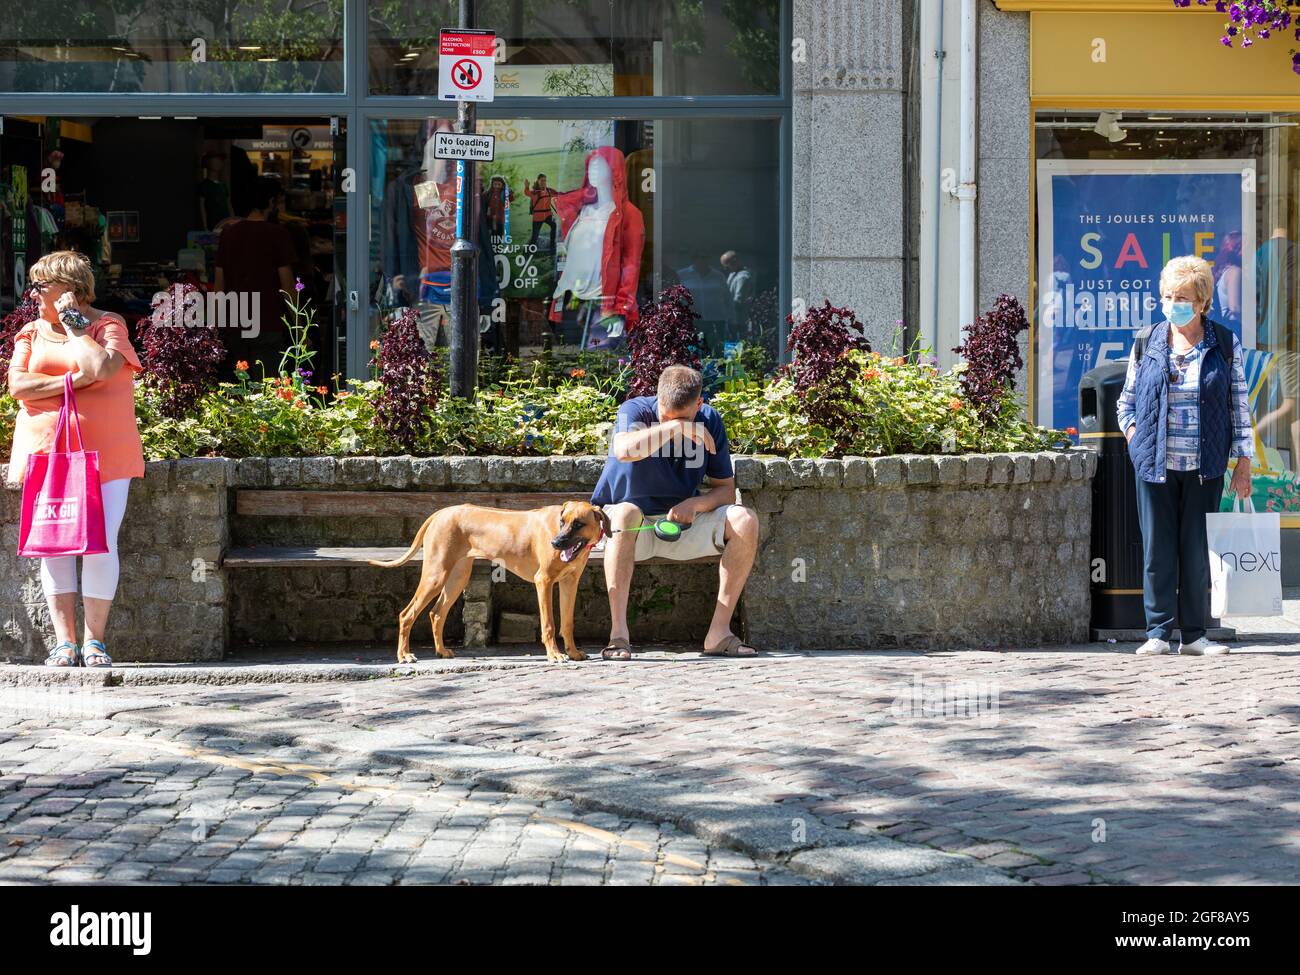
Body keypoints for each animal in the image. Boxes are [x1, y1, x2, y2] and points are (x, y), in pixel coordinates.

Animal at [366, 504, 608, 665]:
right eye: (562, 522)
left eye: (578, 524)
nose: (555, 543)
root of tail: (440, 513)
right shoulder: (544, 581)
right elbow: (548, 624)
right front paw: (555, 654)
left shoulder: (570, 582)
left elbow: (567, 622)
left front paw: (573, 652)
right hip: (435, 575)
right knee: (406, 614)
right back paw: (404, 655)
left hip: (457, 577)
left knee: (436, 613)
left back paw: (441, 650)